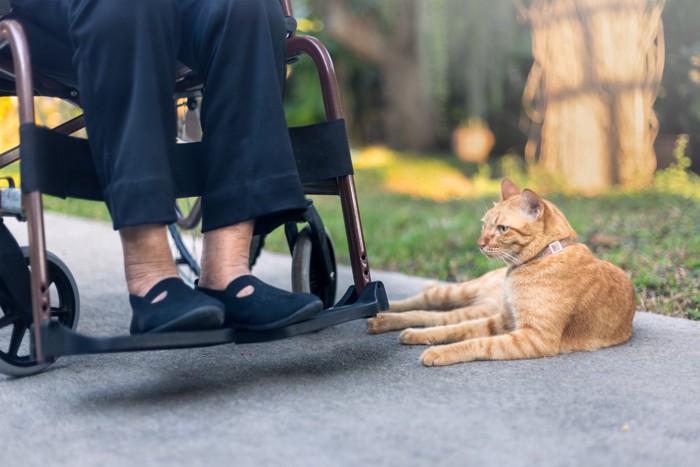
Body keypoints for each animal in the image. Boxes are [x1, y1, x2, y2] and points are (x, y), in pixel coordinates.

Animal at [370, 178, 636, 366]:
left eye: (502, 228)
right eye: (484, 225)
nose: (479, 243)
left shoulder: (531, 337)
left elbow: (475, 342)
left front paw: (439, 351)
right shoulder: (504, 320)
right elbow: (458, 330)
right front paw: (425, 338)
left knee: (437, 315)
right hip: (456, 293)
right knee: (424, 305)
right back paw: (383, 315)